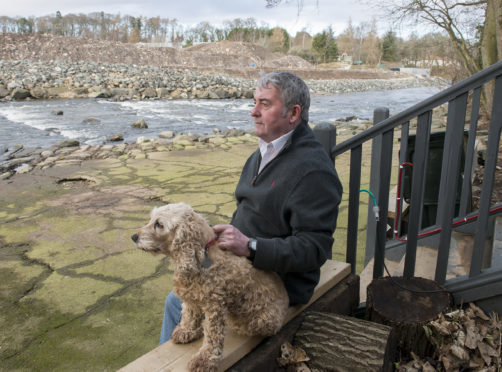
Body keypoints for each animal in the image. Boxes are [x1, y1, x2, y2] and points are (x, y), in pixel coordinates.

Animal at [131, 203, 288, 372]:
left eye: (159, 224)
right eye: (151, 219)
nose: (133, 237)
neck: (200, 259)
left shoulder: (214, 305)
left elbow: (212, 335)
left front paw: (204, 359)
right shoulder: (191, 297)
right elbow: (189, 315)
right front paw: (187, 331)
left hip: (262, 321)